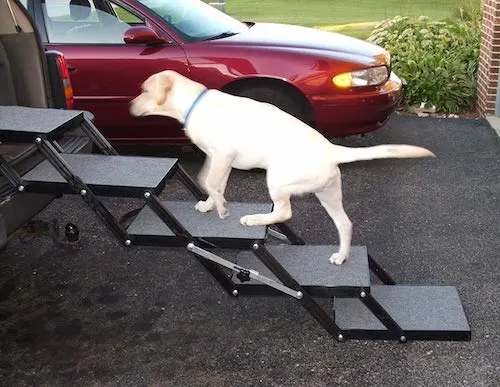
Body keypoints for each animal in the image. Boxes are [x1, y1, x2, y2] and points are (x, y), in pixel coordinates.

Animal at [129, 69, 434, 266]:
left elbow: (209, 182)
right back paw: (341, 256)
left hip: (277, 179)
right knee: (345, 224)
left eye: (144, 91)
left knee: (285, 211)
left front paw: (221, 208)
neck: (194, 104)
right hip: (328, 194)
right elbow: (212, 182)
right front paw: (210, 205)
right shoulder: (219, 159)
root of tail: (330, 149)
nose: (130, 107)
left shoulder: (223, 154)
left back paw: (254, 219)